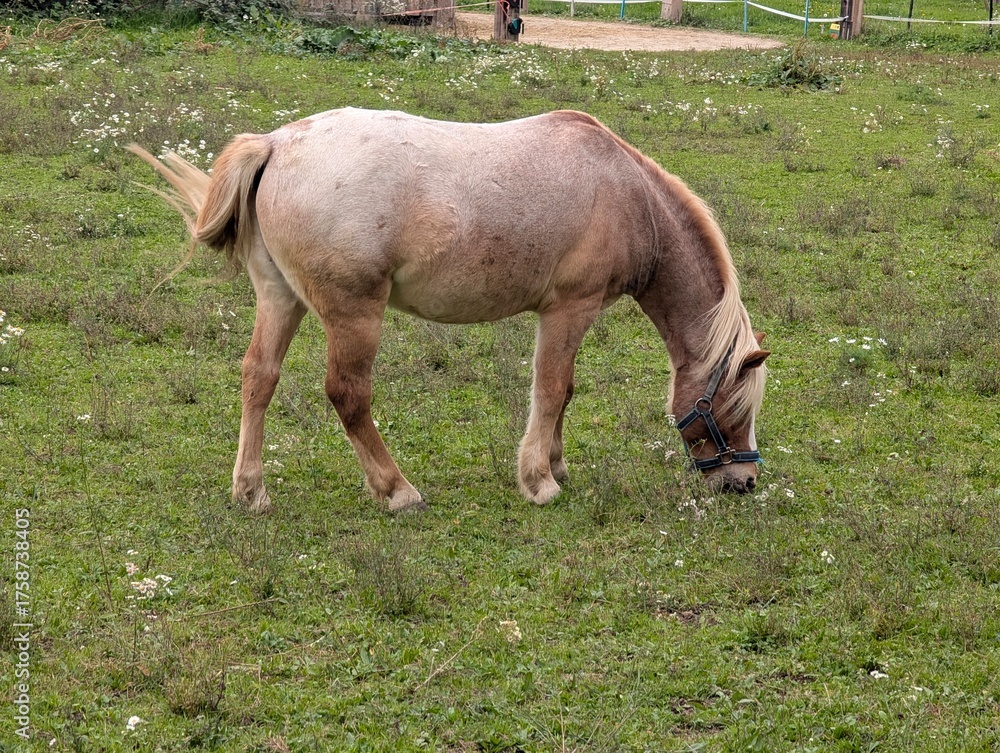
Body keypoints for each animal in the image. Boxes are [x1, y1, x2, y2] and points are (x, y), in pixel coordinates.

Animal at [129, 107, 769, 513]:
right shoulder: (570, 309)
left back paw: (251, 491)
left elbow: (564, 391)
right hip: (354, 314)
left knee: (258, 378)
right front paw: (539, 480)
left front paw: (556, 465)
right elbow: (551, 389)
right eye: (732, 408)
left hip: (280, 299)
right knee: (347, 395)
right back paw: (396, 491)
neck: (627, 195)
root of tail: (277, 144)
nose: (744, 482)